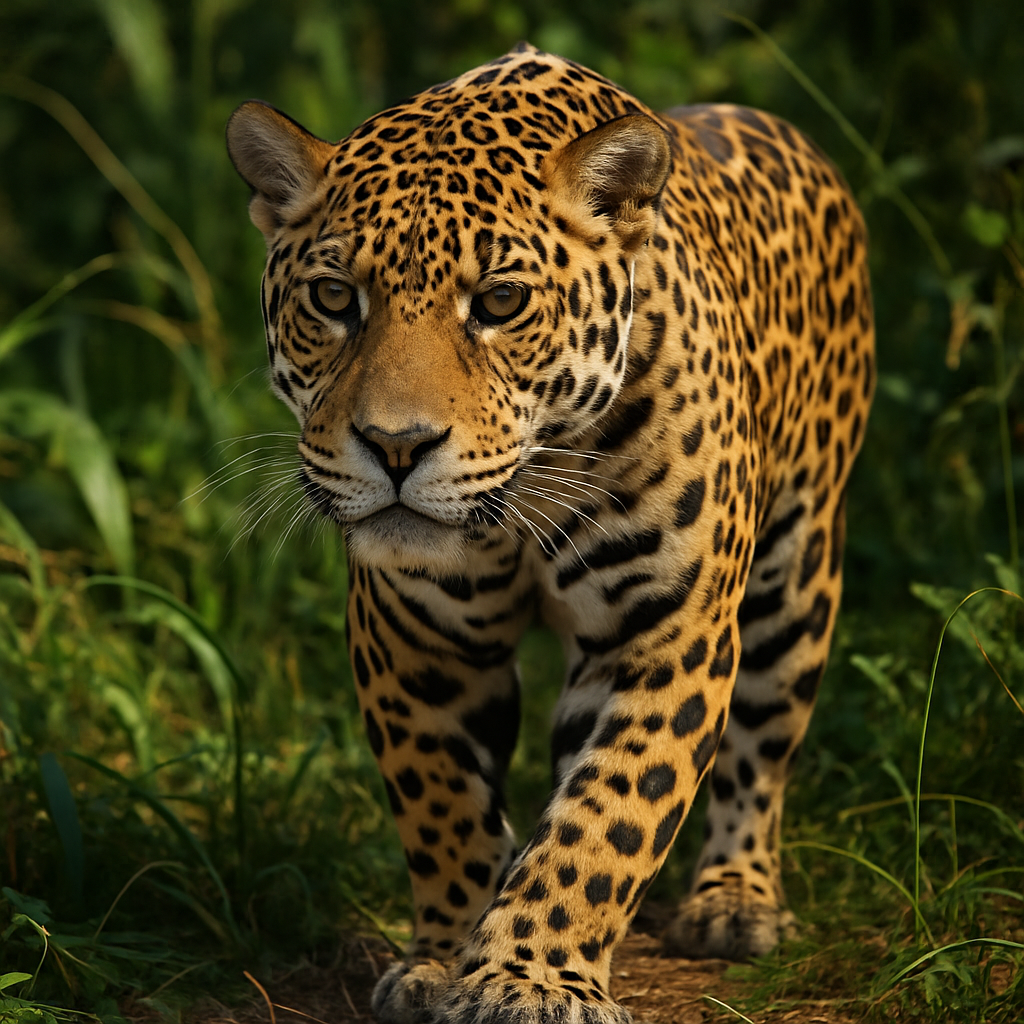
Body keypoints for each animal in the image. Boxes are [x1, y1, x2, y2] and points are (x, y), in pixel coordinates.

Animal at [226, 41, 874, 1024]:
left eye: (499, 303)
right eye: (335, 297)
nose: (396, 446)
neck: (525, 491)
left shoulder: (666, 636)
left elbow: (609, 818)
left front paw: (525, 980)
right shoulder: (415, 640)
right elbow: (443, 807)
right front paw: (442, 960)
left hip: (796, 576)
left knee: (760, 752)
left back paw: (734, 901)